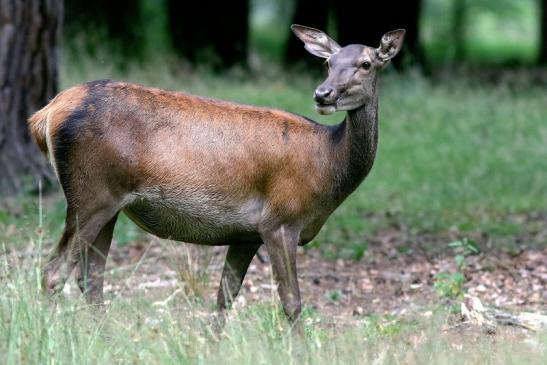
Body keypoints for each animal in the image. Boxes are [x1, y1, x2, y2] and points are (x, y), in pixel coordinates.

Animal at [28, 24, 406, 324]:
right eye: (328, 63)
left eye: (366, 64)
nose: (322, 94)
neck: (327, 167)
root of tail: (45, 115)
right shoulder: (280, 220)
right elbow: (292, 302)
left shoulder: (246, 234)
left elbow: (226, 297)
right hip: (91, 193)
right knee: (54, 273)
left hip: (111, 202)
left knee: (90, 278)